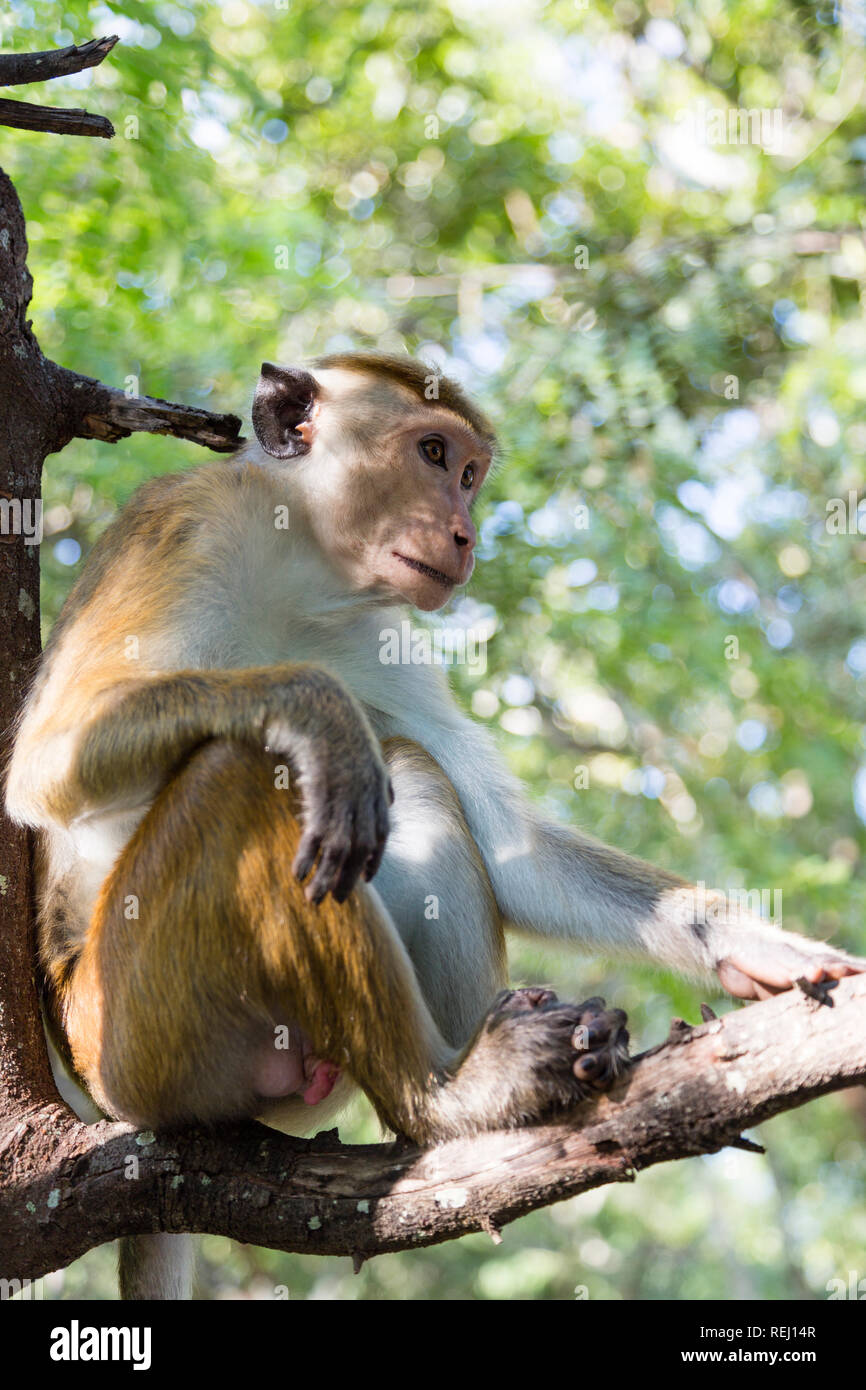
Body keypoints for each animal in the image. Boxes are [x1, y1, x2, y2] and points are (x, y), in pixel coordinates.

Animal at [6, 352, 863, 1299]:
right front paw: (316, 709)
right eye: (431, 453)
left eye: (470, 474)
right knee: (245, 777)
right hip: (137, 1034)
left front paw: (756, 944)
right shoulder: (182, 528)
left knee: (407, 774)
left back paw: (485, 1077)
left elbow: (510, 849)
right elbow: (43, 765)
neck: (298, 564)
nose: (465, 532)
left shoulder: (374, 630)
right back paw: (447, 1096)